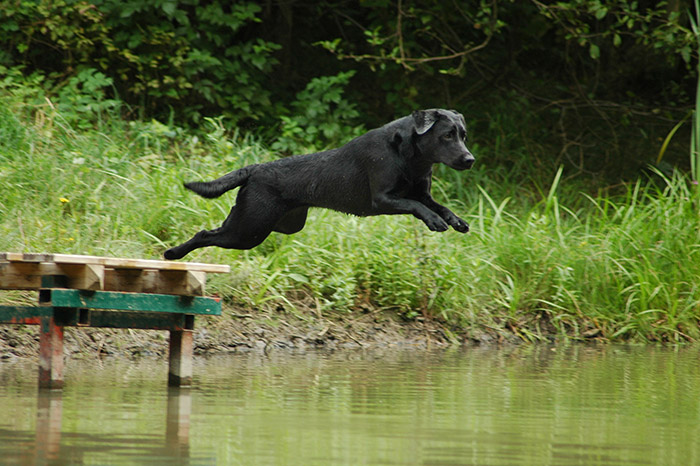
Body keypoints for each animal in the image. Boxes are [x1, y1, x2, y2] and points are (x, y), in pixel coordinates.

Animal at [163, 109, 476, 260]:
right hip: (248, 230)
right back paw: (172, 254)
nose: (470, 159)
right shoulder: (383, 199)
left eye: (464, 135)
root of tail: (255, 168)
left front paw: (456, 221)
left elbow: (439, 205)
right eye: (447, 135)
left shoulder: (422, 193)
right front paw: (435, 222)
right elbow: (417, 207)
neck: (412, 157)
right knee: (205, 233)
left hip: (279, 224)